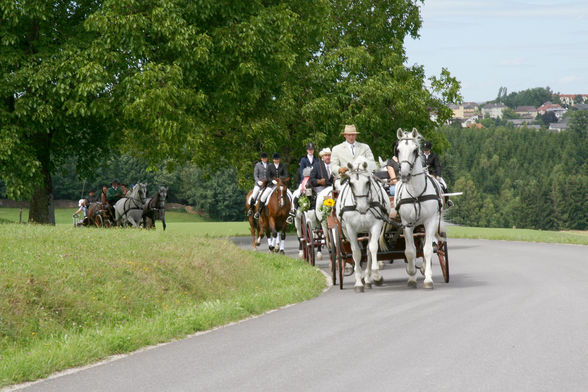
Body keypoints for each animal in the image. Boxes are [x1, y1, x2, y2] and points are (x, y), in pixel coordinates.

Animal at [336, 156, 390, 290]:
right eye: (350, 183)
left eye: (367, 182)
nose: (362, 207)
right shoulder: (350, 229)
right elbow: (356, 252)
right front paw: (358, 282)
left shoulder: (376, 225)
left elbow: (373, 248)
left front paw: (376, 276)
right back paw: (360, 276)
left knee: (368, 251)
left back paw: (368, 279)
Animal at [396, 128, 446, 288]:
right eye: (398, 150)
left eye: (414, 150)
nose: (404, 175)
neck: (416, 193)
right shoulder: (406, 224)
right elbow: (410, 252)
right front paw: (411, 275)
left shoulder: (430, 222)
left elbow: (428, 250)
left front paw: (428, 279)